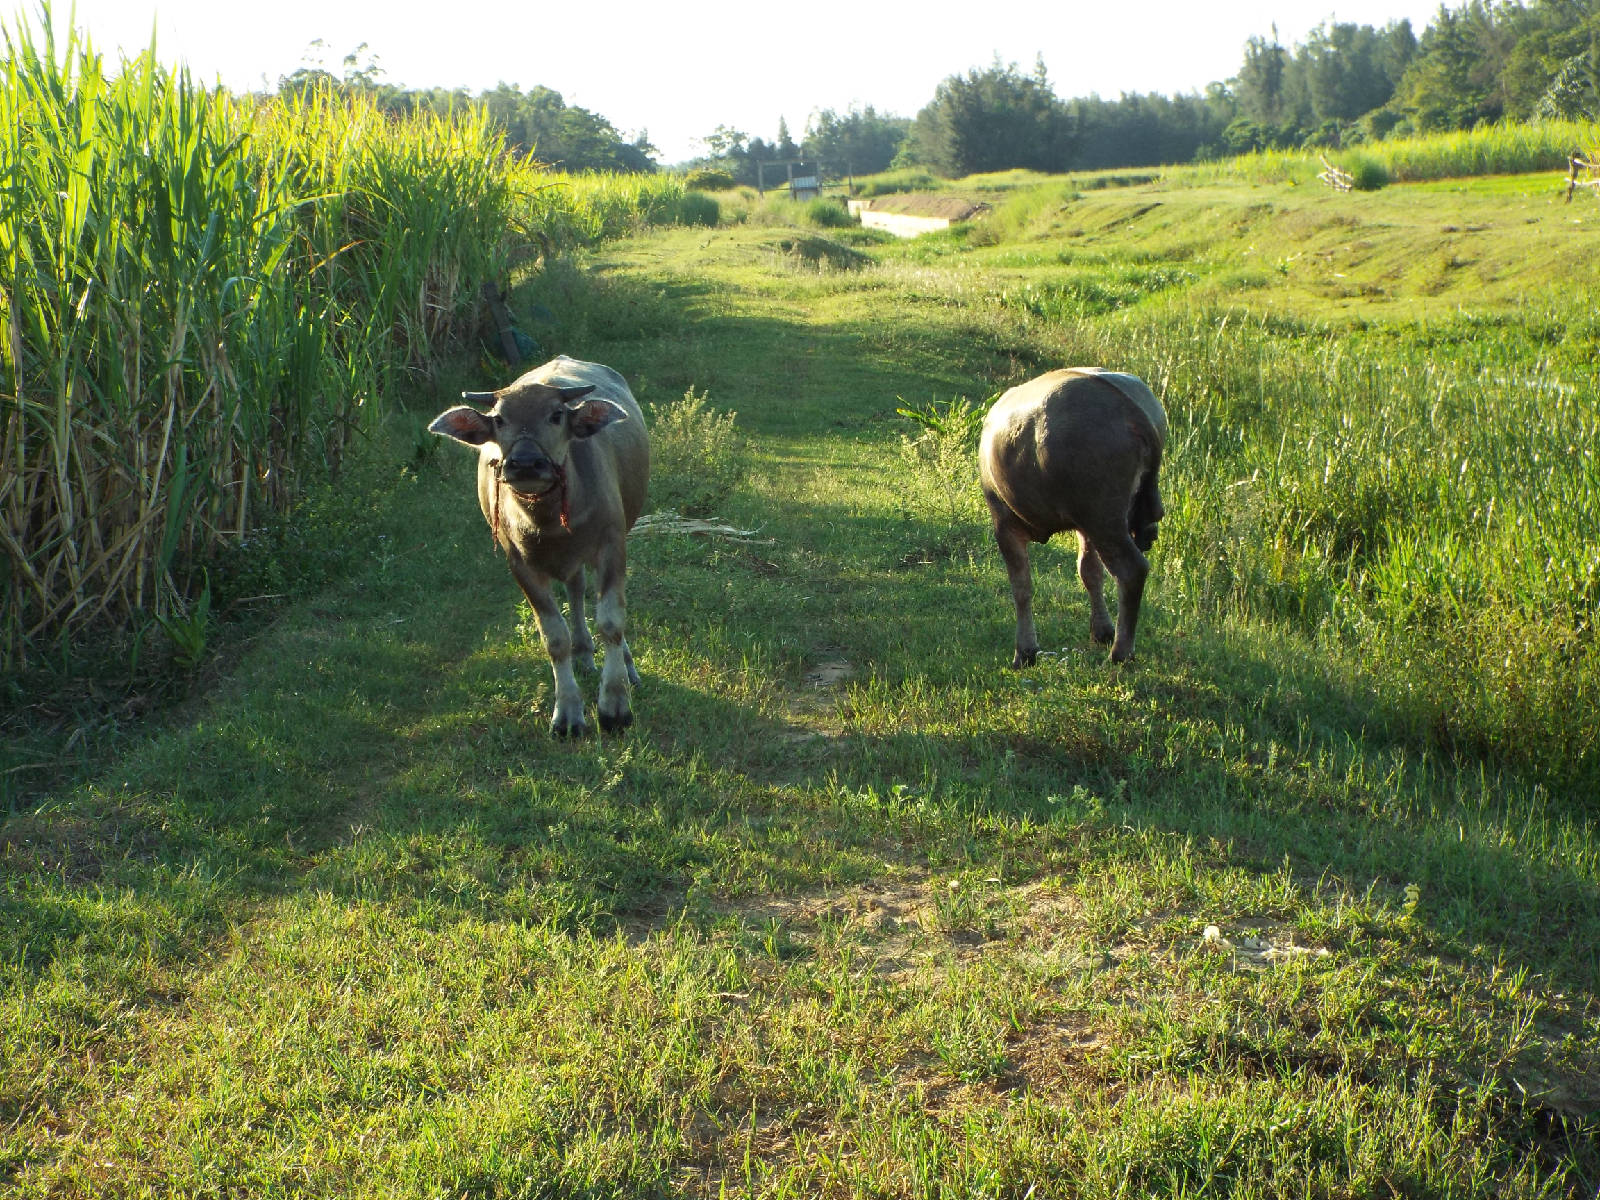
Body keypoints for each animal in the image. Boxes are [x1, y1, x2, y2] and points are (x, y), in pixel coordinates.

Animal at [432, 352, 649, 739]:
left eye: (556, 415)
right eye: (499, 419)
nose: (525, 464)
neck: (547, 522)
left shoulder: (612, 546)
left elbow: (611, 621)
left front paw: (615, 707)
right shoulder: (521, 565)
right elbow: (554, 638)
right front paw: (568, 714)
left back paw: (625, 665)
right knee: (576, 590)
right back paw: (583, 652)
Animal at [972, 366, 1164, 668]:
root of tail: (1132, 411)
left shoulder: (1003, 523)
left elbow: (1021, 586)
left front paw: (1025, 651)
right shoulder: (1083, 528)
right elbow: (1089, 572)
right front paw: (1102, 630)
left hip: (1104, 520)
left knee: (1132, 570)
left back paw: (1121, 653)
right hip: (1100, 522)